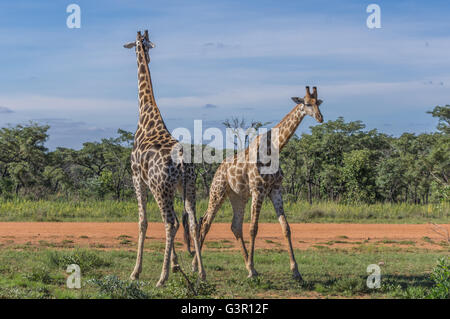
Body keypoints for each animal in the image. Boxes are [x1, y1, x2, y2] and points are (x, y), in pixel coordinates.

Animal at [124, 31, 207, 288]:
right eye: (147, 46)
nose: (147, 56)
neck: (146, 115)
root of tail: (180, 161)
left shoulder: (137, 178)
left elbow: (142, 222)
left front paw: (136, 272)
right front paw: (176, 264)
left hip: (161, 188)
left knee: (170, 222)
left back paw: (162, 278)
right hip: (187, 187)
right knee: (192, 221)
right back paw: (201, 273)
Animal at [193, 85, 324, 280]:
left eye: (318, 103)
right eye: (307, 103)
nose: (320, 117)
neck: (274, 148)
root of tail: (217, 170)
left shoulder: (275, 190)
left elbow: (286, 227)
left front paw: (295, 271)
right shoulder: (258, 190)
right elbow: (253, 228)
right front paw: (253, 270)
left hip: (238, 197)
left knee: (235, 226)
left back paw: (246, 265)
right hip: (217, 192)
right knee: (206, 223)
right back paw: (197, 267)